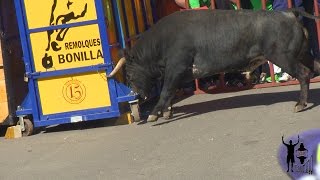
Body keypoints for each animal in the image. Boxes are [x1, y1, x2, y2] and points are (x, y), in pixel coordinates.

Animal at [109, 8, 320, 122]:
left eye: (129, 74)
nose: (136, 94)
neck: (160, 43)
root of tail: (290, 14)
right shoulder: (176, 74)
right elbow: (169, 93)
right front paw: (166, 112)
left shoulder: (176, 68)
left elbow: (165, 91)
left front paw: (153, 115)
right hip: (303, 54)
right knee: (315, 67)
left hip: (283, 57)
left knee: (304, 74)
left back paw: (300, 104)